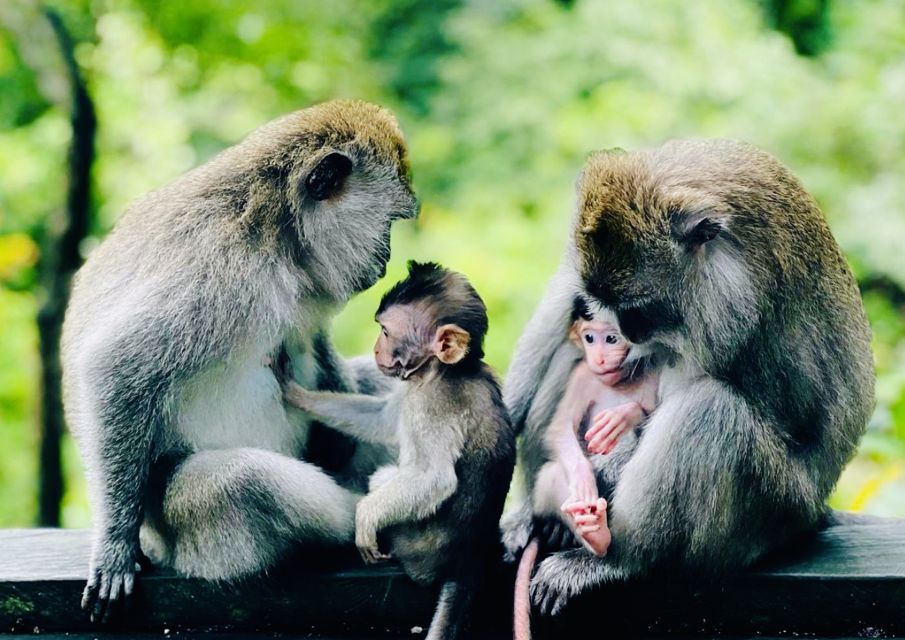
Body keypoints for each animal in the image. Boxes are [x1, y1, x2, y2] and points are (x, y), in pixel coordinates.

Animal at [61, 100, 419, 620]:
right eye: (389, 222)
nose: (386, 257)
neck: (278, 234)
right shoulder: (217, 270)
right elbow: (116, 369)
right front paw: (113, 545)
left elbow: (315, 343)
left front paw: (335, 438)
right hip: (185, 533)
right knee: (238, 481)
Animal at [280, 261, 516, 640]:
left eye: (386, 332)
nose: (377, 349)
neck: (442, 371)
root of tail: (469, 560)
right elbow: (383, 422)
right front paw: (297, 394)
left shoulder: (431, 405)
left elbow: (435, 479)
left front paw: (365, 517)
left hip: (415, 549)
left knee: (387, 478)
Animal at [513, 301, 659, 640]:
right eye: (589, 338)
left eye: (612, 338)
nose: (599, 358)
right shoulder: (582, 377)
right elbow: (559, 428)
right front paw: (584, 482)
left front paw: (624, 416)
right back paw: (584, 528)